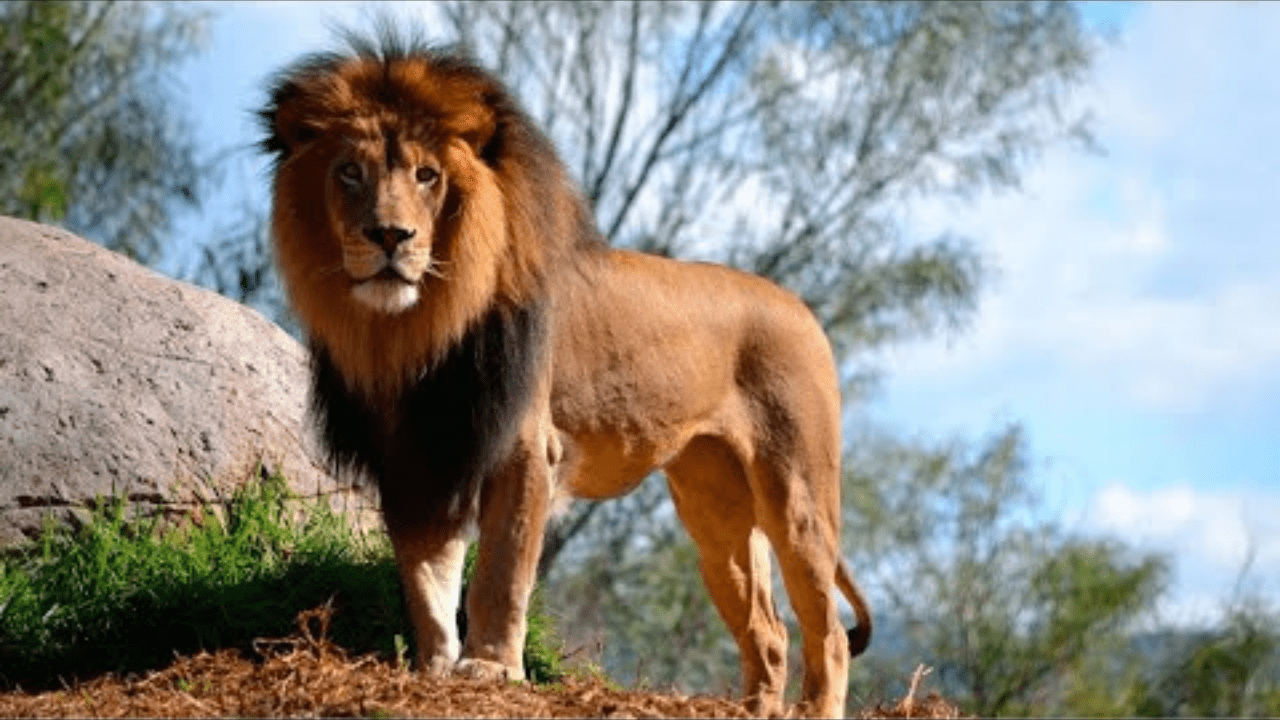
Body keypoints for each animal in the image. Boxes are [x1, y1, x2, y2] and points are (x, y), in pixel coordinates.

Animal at [260, 28, 871, 718]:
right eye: (349, 172)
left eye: (426, 175)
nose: (390, 235)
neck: (415, 330)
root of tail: (800, 307)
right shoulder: (417, 453)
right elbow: (425, 576)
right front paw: (434, 668)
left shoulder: (524, 446)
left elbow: (500, 571)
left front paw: (490, 668)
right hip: (714, 508)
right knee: (767, 631)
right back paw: (756, 708)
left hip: (795, 492)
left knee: (827, 629)